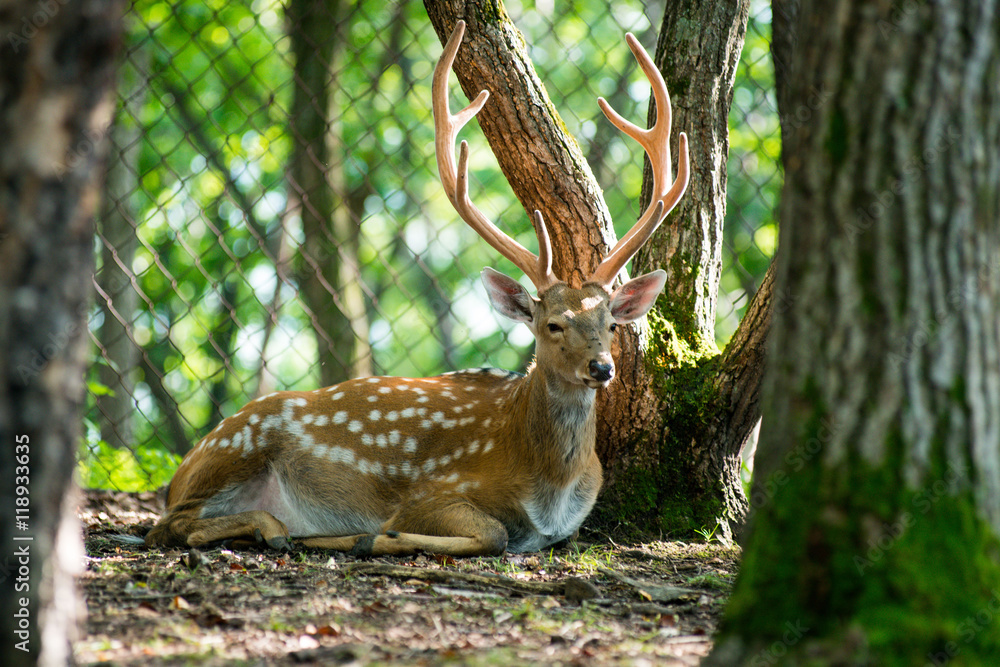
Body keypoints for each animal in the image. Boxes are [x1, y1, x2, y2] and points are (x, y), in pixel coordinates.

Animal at [144, 20, 689, 557]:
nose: (602, 368)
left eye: (610, 323)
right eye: (552, 324)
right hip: (237, 446)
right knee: (168, 525)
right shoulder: (436, 489)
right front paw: (376, 535)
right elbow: (490, 534)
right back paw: (287, 530)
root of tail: (185, 464)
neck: (550, 486)